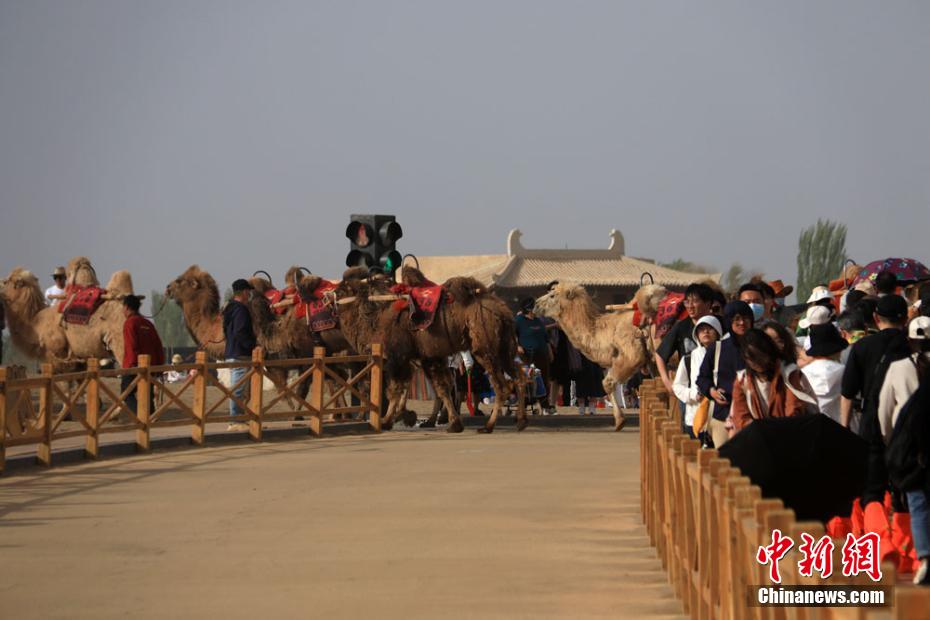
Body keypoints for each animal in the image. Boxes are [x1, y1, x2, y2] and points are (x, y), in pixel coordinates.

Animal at [0, 262, 135, 370]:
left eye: (6, 281)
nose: (0, 282)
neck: (37, 323)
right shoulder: (78, 361)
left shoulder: (58, 356)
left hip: (120, 343)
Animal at [334, 264, 520, 434]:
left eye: (342, 290)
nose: (331, 296)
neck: (377, 319)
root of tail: (503, 311)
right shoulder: (428, 357)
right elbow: (442, 388)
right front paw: (451, 423)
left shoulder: (398, 357)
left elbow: (395, 389)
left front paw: (387, 421)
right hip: (505, 347)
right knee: (519, 375)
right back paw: (521, 421)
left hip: (485, 349)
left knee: (501, 386)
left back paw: (488, 426)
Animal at [528, 282, 668, 432]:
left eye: (552, 295)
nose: (535, 304)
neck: (610, 332)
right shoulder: (653, 363)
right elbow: (663, 391)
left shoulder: (632, 356)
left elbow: (607, 383)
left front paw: (620, 421)